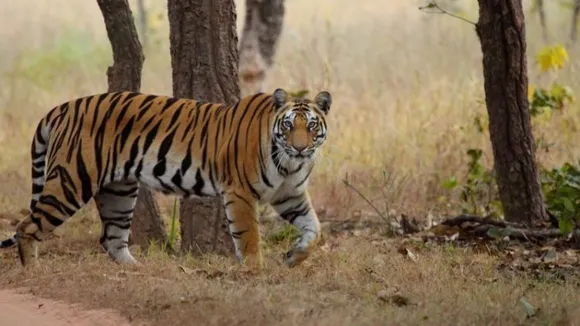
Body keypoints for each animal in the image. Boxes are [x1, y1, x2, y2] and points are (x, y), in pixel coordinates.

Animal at [0, 88, 330, 268]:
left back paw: (136, 269)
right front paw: (255, 270)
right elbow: (248, 236)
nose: (300, 147)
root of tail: (63, 107)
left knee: (111, 238)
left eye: (312, 126)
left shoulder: (290, 195)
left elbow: (315, 228)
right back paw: (33, 271)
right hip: (71, 181)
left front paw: (294, 257)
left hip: (119, 191)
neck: (290, 164)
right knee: (27, 226)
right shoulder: (240, 193)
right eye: (288, 126)